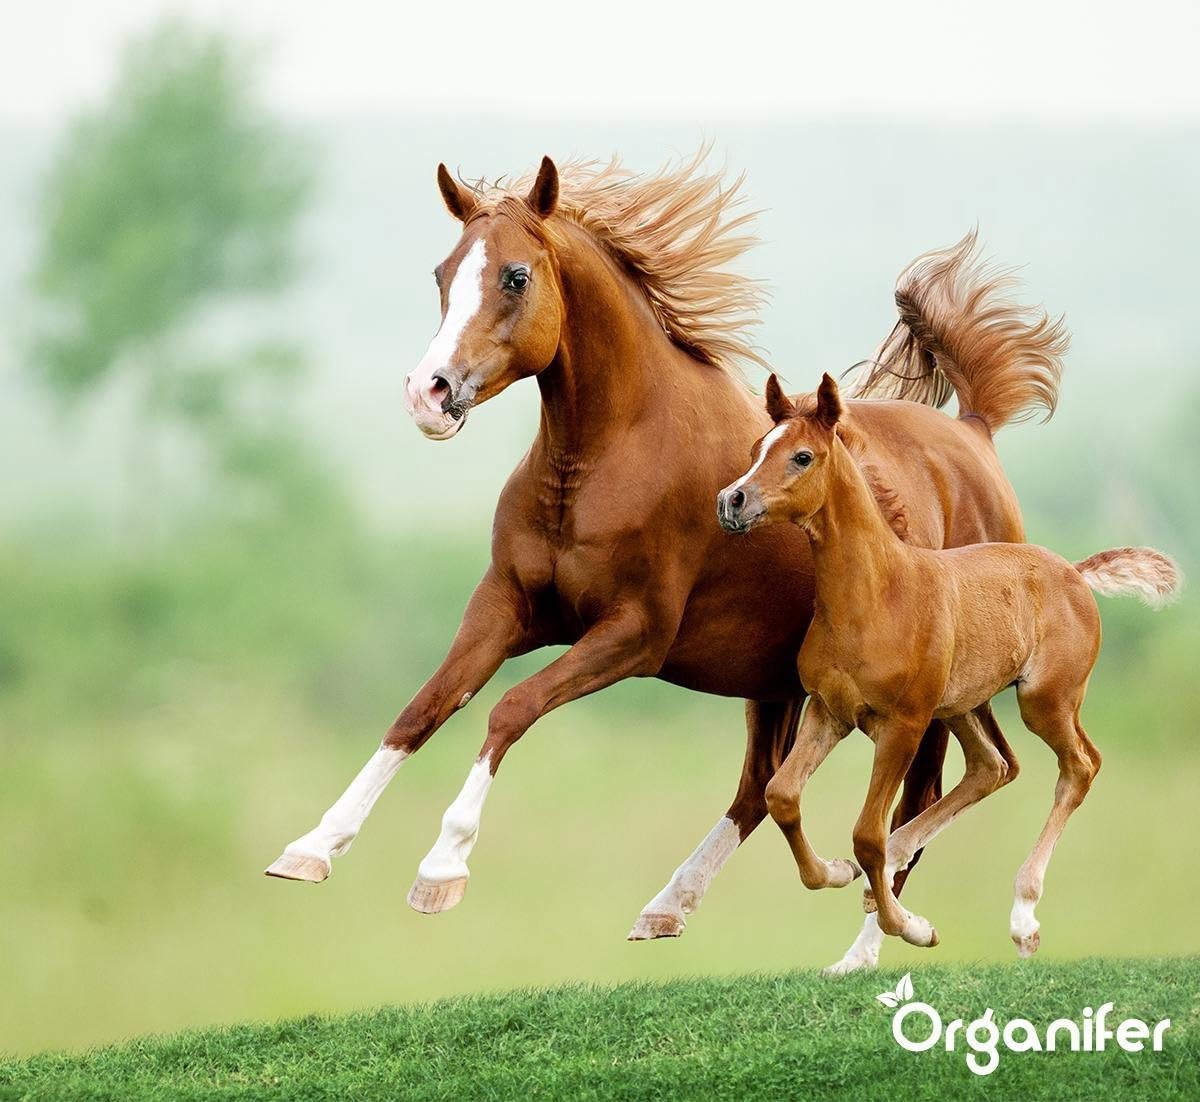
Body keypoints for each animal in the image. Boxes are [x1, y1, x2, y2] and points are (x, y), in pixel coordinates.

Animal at [264, 152, 1067, 973]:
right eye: (442, 273)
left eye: (515, 276)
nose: (428, 393)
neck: (606, 456)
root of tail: (974, 435)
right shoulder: (506, 607)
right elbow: (423, 709)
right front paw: (312, 847)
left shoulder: (633, 634)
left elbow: (510, 708)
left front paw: (441, 869)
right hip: (776, 680)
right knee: (762, 787)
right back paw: (671, 904)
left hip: (924, 698)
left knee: (919, 797)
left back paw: (868, 946)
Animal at [717, 371, 1180, 955]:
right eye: (759, 447)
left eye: (802, 456)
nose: (731, 500)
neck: (877, 596)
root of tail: (1074, 573)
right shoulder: (829, 712)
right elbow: (782, 796)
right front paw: (838, 873)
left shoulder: (903, 725)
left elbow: (866, 834)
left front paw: (910, 926)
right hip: (961, 705)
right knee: (992, 766)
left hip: (1043, 701)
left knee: (1080, 765)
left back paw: (1023, 915)